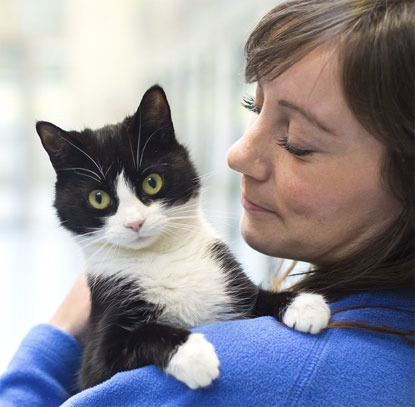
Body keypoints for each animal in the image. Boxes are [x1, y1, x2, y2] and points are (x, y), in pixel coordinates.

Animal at [35, 86, 330, 392]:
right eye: (98, 198)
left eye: (152, 182)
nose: (135, 223)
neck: (160, 257)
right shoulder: (96, 358)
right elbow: (141, 336)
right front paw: (193, 354)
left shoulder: (231, 281)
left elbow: (257, 296)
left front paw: (303, 305)